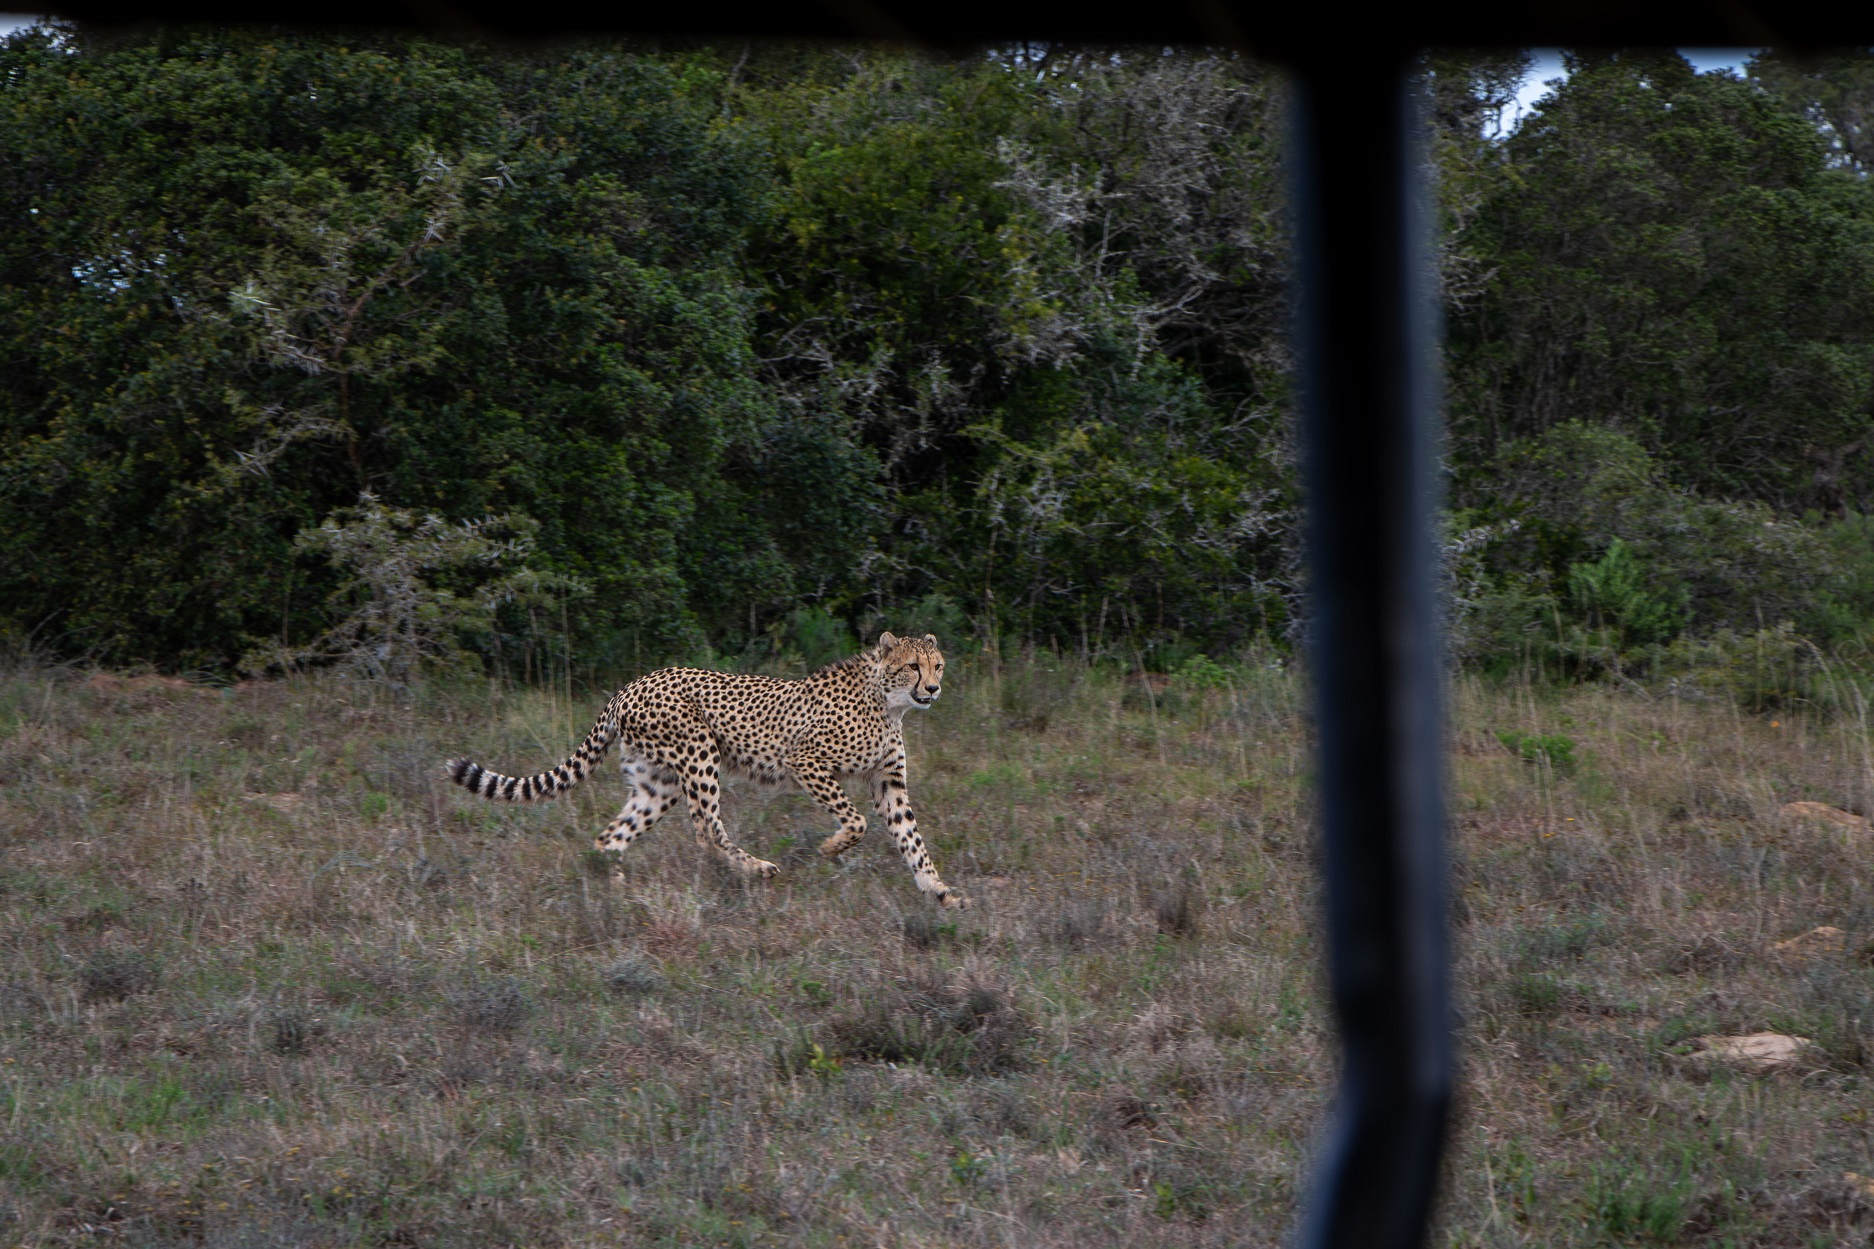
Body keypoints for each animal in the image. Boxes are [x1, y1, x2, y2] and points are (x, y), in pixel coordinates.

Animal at [447, 633, 974, 903]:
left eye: (938, 665)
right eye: (913, 666)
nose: (933, 690)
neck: (889, 702)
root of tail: (631, 684)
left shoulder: (889, 783)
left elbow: (912, 839)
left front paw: (939, 889)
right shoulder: (804, 760)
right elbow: (857, 821)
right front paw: (831, 847)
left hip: (657, 782)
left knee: (612, 836)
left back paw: (614, 891)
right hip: (700, 753)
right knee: (706, 828)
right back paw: (758, 868)